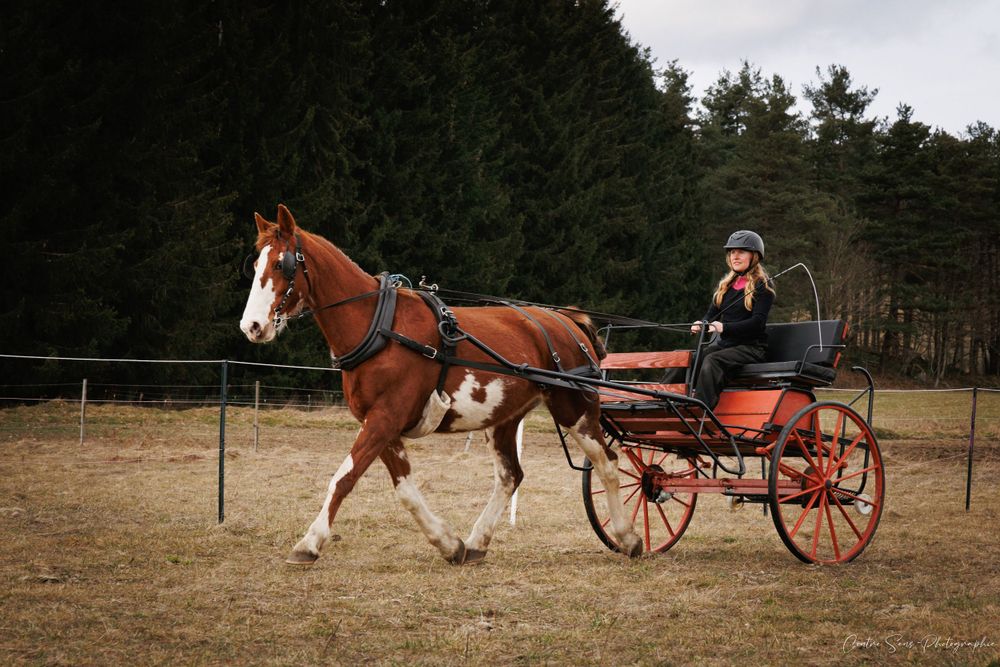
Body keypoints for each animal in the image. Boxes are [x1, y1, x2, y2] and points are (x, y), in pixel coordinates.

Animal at [239, 204, 642, 565]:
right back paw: (477, 542)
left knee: (607, 464)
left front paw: (309, 543)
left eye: (282, 264)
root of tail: (569, 321)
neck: (377, 325)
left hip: (575, 409)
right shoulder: (382, 423)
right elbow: (405, 490)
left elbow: (344, 478)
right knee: (510, 476)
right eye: (256, 265)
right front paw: (449, 544)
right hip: (504, 419)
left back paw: (627, 537)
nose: (252, 326)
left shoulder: (384, 419)